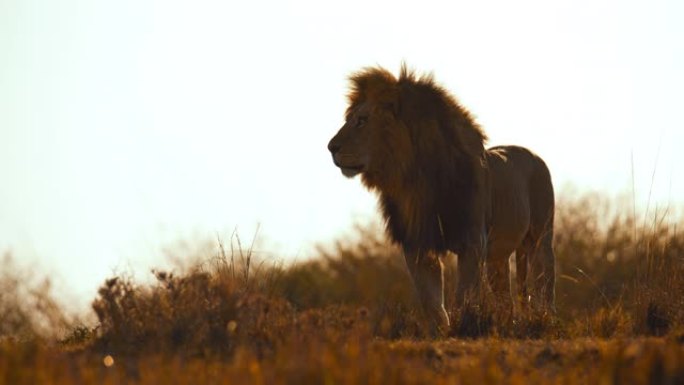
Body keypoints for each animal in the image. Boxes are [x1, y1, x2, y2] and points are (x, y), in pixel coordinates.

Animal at [328, 66, 560, 332]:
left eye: (362, 120)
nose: (331, 147)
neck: (416, 180)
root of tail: (534, 155)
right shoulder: (417, 244)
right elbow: (429, 298)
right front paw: (438, 330)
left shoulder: (472, 241)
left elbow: (463, 293)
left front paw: (464, 324)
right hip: (499, 256)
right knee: (506, 294)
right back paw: (507, 322)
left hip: (541, 237)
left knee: (545, 282)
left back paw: (545, 318)